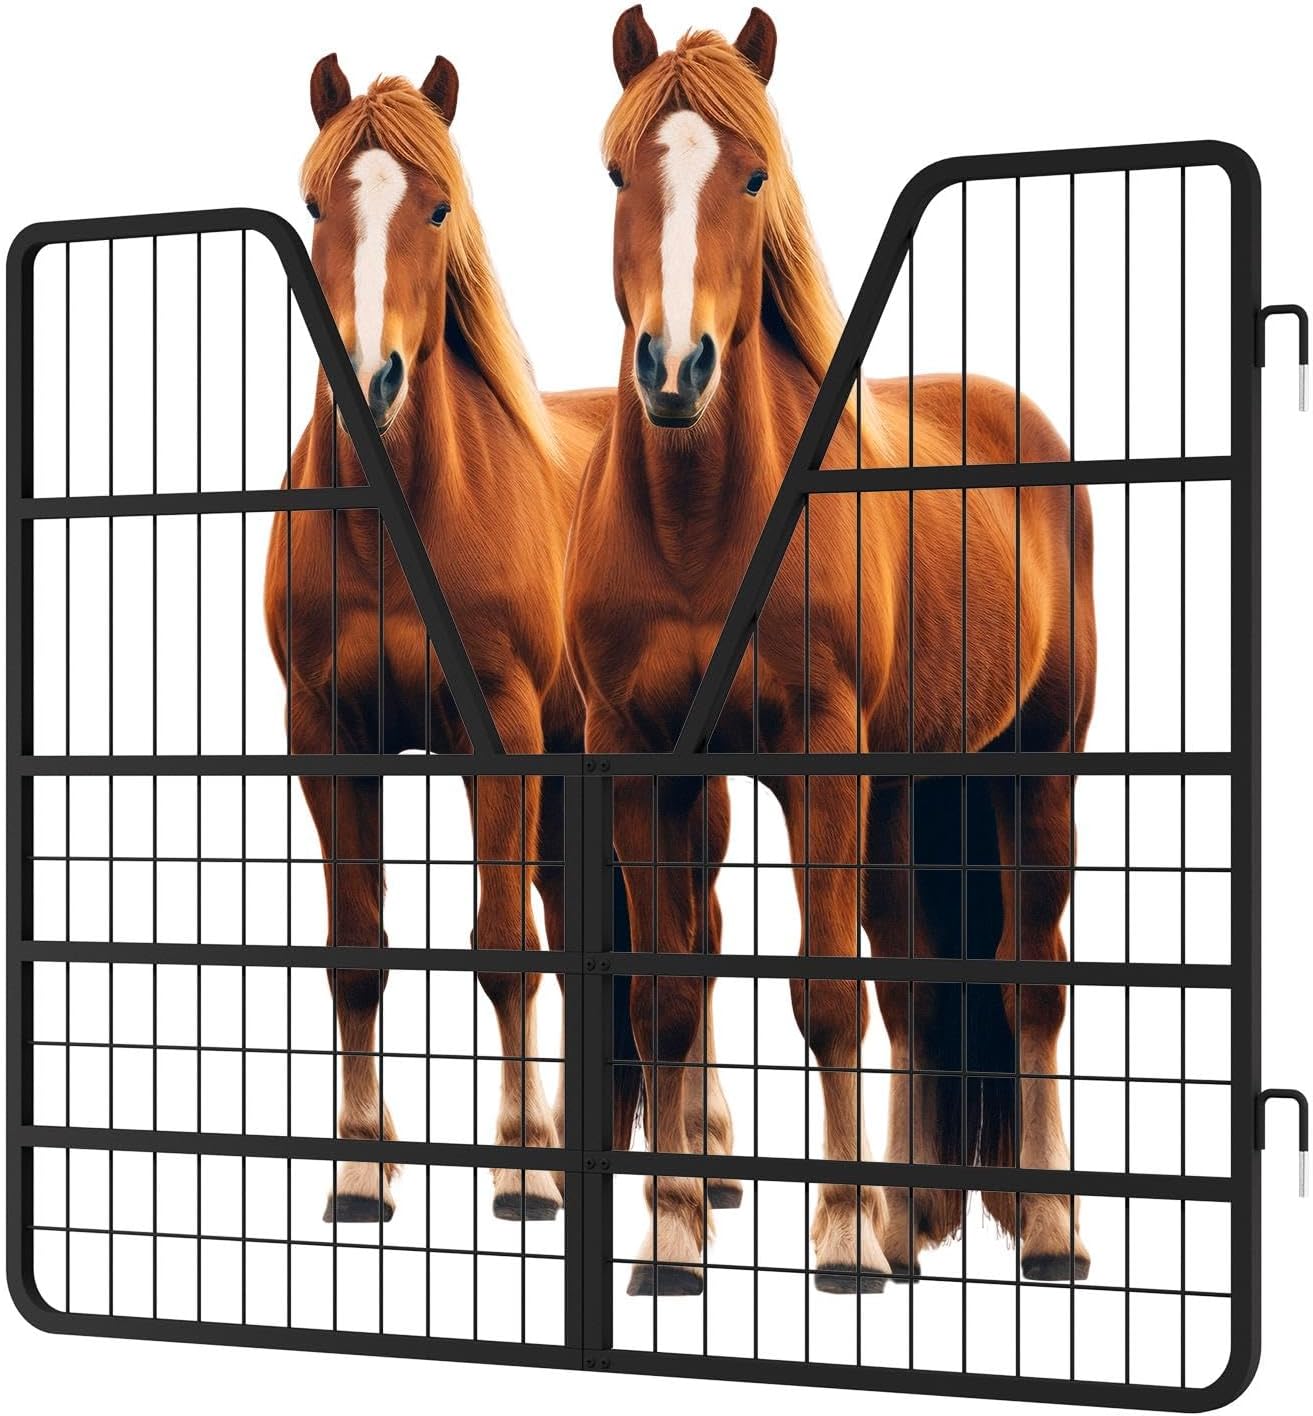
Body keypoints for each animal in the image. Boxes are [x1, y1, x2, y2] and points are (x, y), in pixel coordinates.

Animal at [264, 56, 613, 1225]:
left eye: (439, 206)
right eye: (313, 207)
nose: (369, 381)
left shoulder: (496, 732)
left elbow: (504, 949)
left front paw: (521, 1166)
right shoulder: (327, 736)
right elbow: (357, 950)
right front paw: (360, 1169)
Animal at [563, 7, 1095, 1296]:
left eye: (755, 174)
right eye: (616, 173)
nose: (675, 369)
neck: (701, 530)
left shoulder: (817, 761)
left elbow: (823, 1001)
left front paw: (842, 1237)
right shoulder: (642, 760)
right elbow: (666, 999)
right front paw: (670, 1238)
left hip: (1036, 765)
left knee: (1031, 977)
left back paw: (1046, 1229)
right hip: (906, 784)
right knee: (913, 981)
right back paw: (910, 1224)